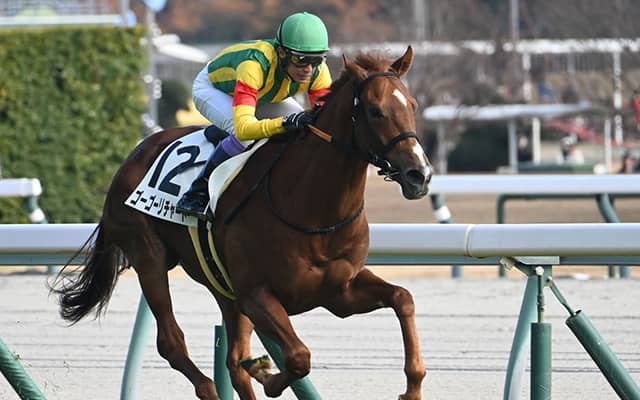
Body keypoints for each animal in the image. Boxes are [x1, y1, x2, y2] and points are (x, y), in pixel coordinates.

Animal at [51, 46, 432, 400]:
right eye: (375, 110)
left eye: (413, 105)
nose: (420, 174)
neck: (312, 210)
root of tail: (132, 157)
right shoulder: (256, 294)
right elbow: (298, 357)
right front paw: (266, 373)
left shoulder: (340, 291)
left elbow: (403, 298)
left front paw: (412, 387)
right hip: (149, 257)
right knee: (172, 342)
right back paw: (209, 385)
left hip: (222, 287)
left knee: (233, 361)